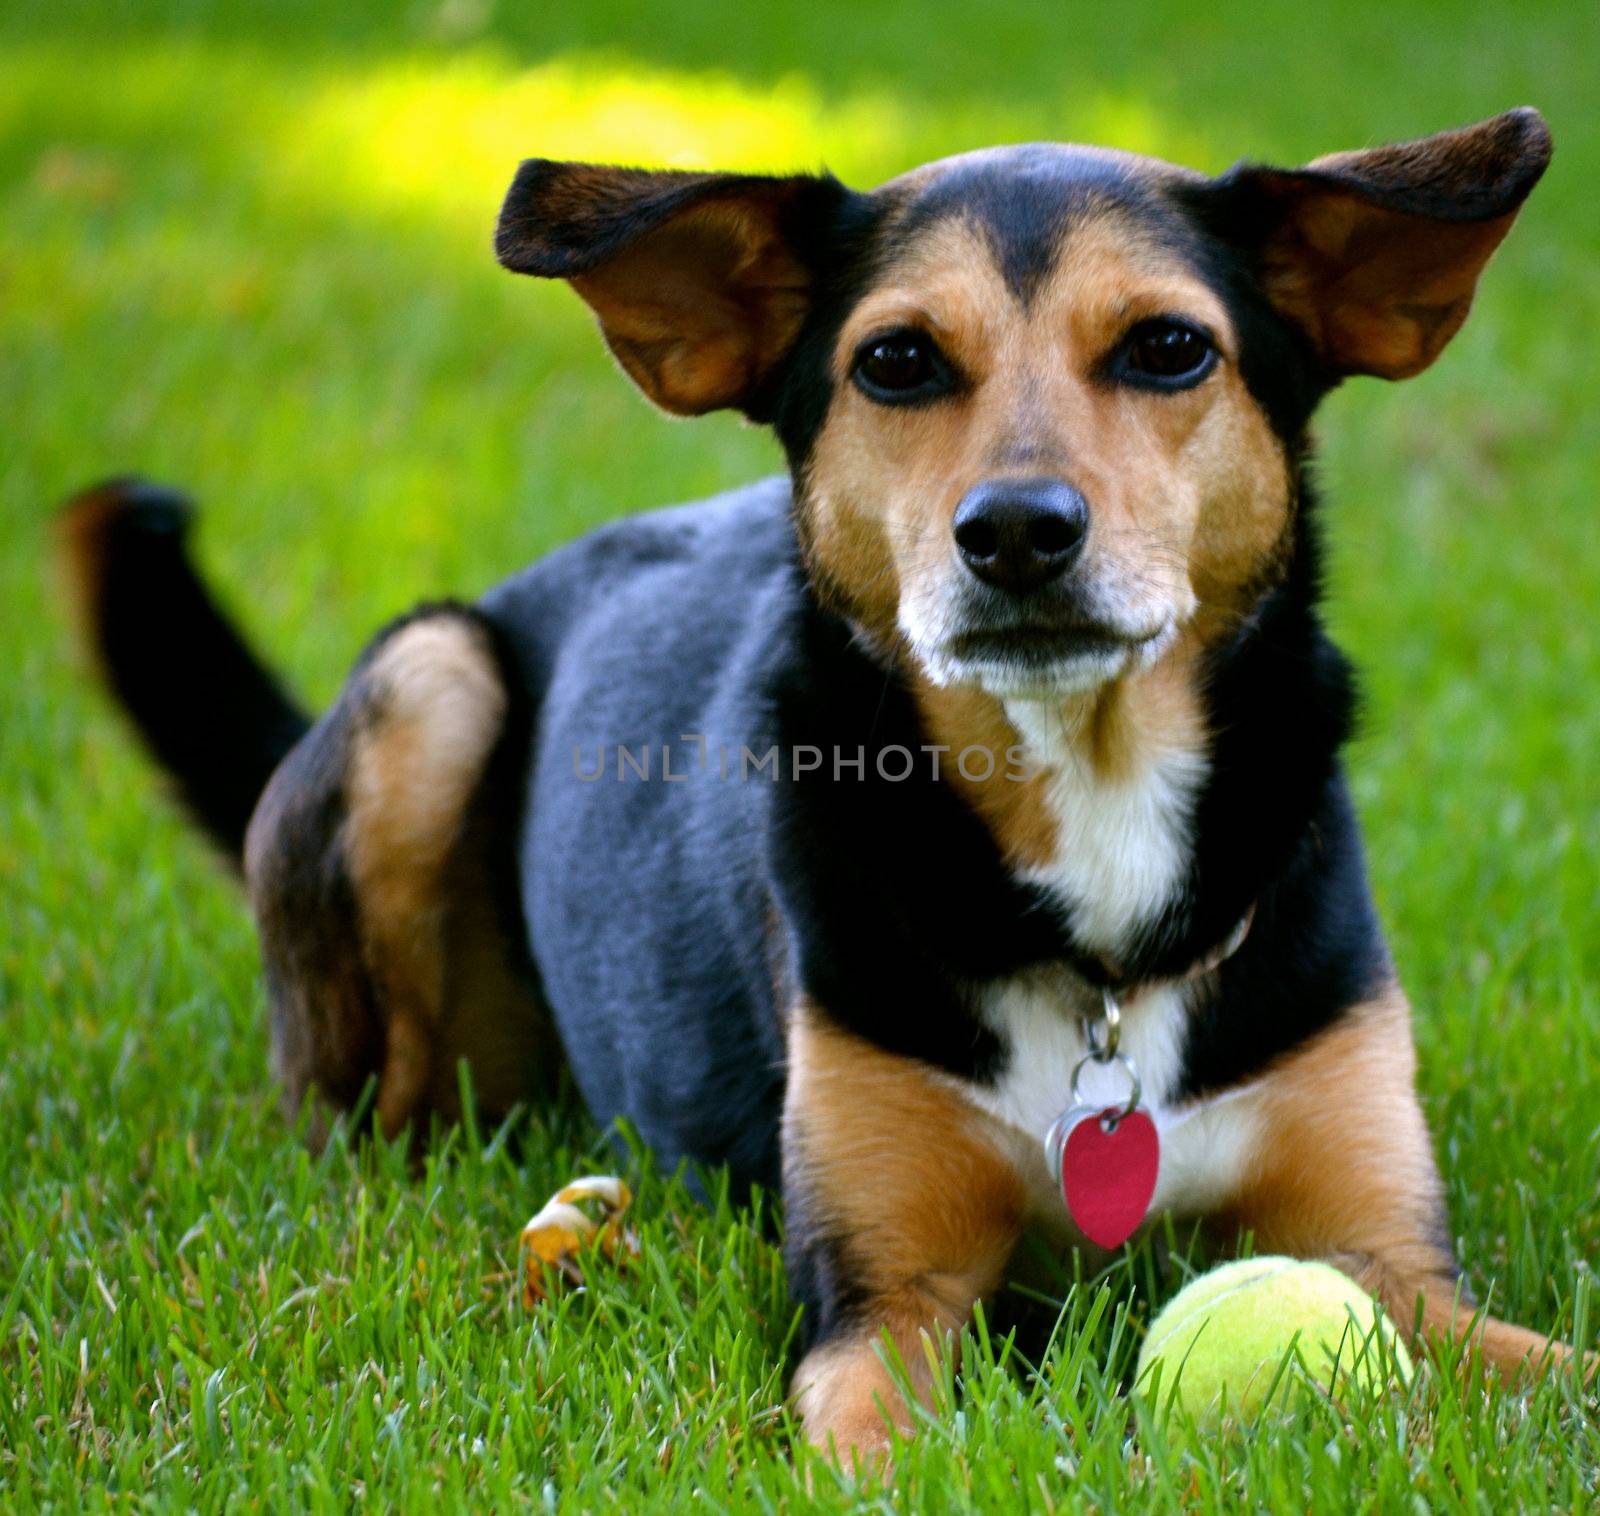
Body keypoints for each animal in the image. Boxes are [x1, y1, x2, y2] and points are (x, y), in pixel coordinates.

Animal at [65, 106, 1574, 1458]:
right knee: (366, 1124)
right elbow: (883, 1440)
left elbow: (1559, 1373)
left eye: (1168, 349)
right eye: (897, 362)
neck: (1090, 831)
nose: (1015, 532)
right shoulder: (879, 1299)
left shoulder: (1395, 1265)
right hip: (430, 689)